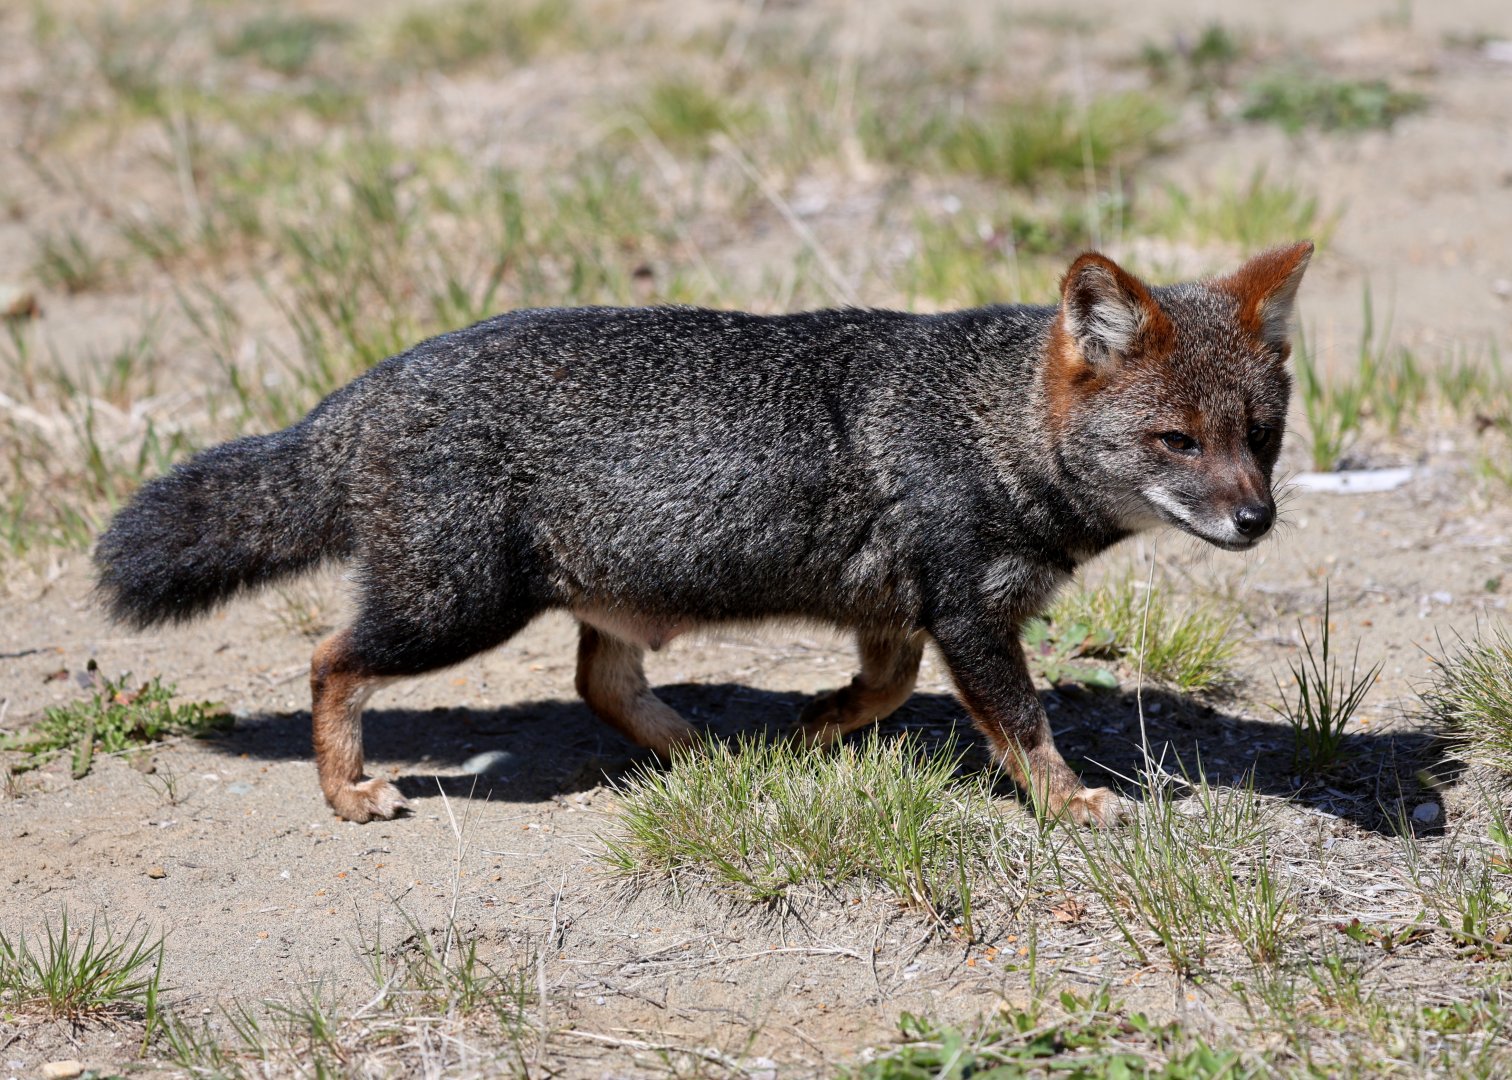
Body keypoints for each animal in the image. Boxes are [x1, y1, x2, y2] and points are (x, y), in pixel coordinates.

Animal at [94, 242, 1312, 827]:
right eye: (1175, 442)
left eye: (1260, 436)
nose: (1257, 519)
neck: (987, 422)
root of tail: (361, 389)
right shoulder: (970, 615)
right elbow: (1026, 728)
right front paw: (1070, 805)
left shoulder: (901, 612)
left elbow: (882, 689)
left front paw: (815, 727)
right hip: (456, 610)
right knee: (329, 661)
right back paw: (349, 790)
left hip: (590, 600)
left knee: (598, 684)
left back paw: (707, 751)